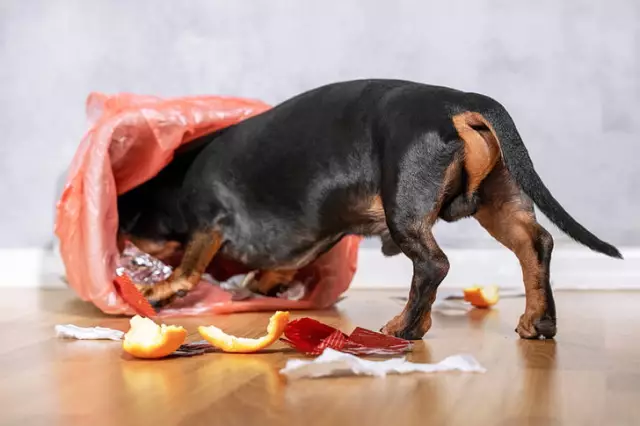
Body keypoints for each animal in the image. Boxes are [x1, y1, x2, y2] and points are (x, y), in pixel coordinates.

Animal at [117, 79, 624, 340]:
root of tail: (461, 103)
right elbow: (276, 268)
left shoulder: (207, 223)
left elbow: (187, 270)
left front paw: (159, 291)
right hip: (499, 201)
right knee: (535, 245)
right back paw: (539, 320)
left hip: (405, 208)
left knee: (433, 265)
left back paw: (406, 327)